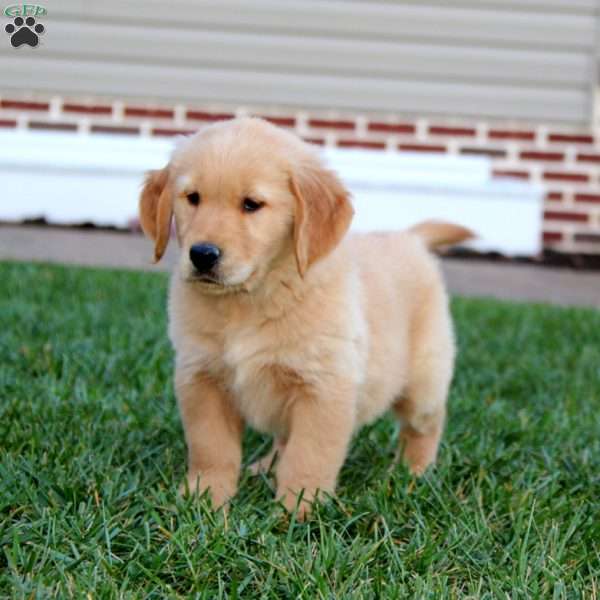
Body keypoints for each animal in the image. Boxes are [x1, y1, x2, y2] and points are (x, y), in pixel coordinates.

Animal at [141, 116, 474, 516]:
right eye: (192, 198)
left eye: (252, 204)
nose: (202, 254)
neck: (254, 297)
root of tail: (409, 237)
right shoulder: (201, 378)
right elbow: (211, 447)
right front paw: (204, 497)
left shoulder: (323, 387)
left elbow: (309, 454)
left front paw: (297, 510)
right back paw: (263, 467)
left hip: (423, 379)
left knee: (425, 425)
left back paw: (414, 473)